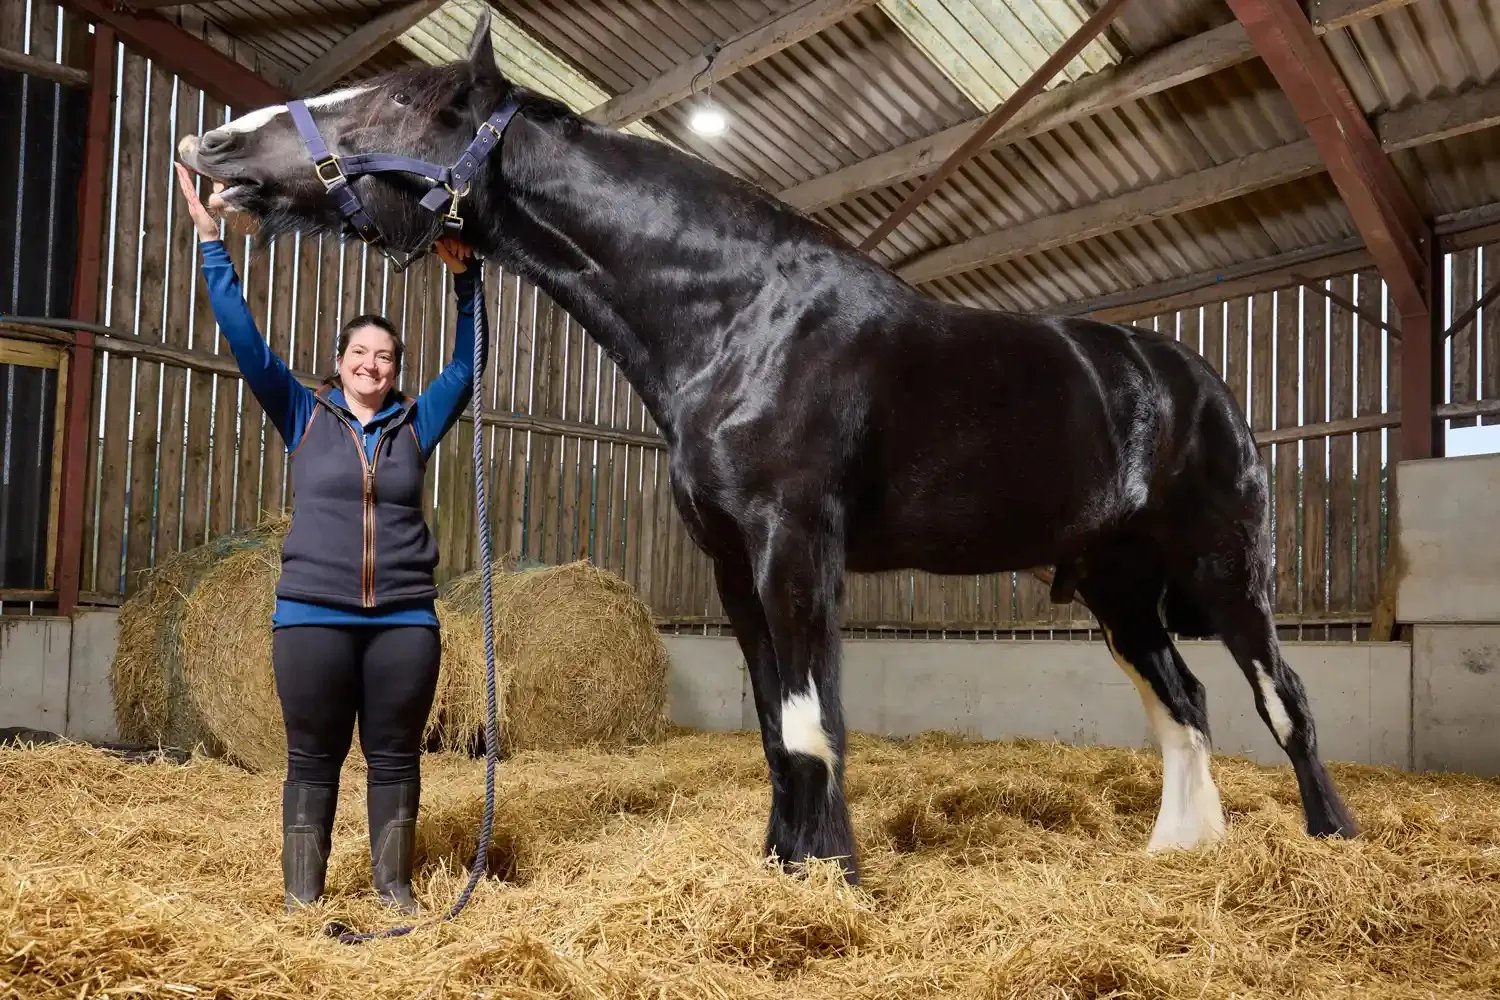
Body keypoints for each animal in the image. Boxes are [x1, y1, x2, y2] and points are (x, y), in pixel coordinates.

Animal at [175, 11, 1357, 883]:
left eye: (397, 102)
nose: (211, 147)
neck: (741, 317)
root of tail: (1198, 383)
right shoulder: (733, 564)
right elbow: (772, 722)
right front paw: (787, 862)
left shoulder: (797, 547)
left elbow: (810, 718)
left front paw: (832, 873)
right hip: (1118, 590)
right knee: (1186, 704)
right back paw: (1179, 851)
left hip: (1228, 573)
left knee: (1284, 700)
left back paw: (1330, 839)